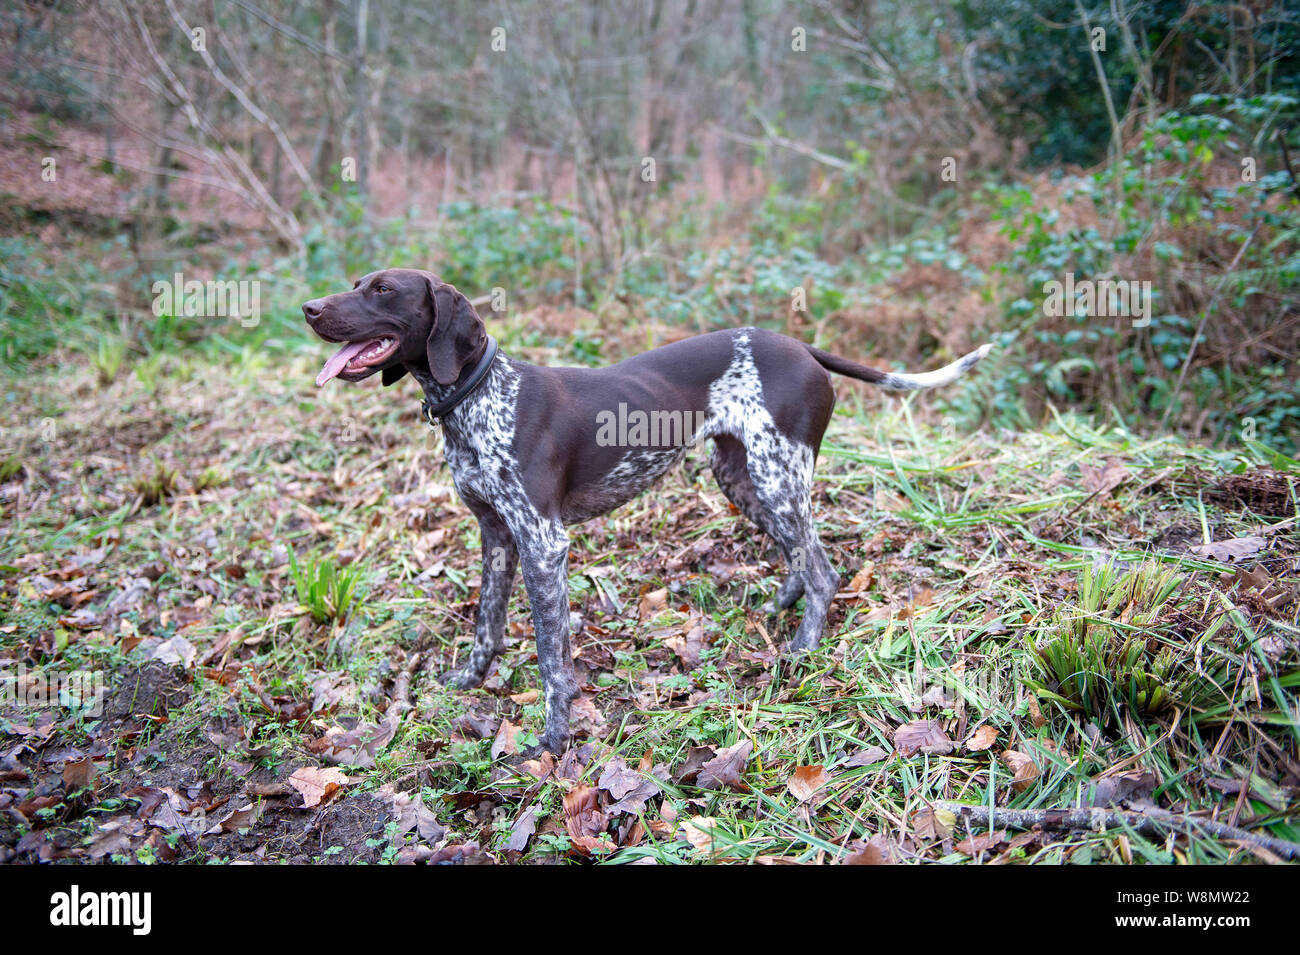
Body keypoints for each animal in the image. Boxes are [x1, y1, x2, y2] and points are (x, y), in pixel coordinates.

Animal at [306, 268, 993, 753]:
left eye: (383, 290)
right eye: (358, 283)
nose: (309, 310)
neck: (478, 398)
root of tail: (803, 346)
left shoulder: (543, 544)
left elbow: (552, 656)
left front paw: (553, 738)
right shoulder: (496, 534)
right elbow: (487, 625)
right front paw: (470, 683)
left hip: (777, 476)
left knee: (824, 569)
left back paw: (801, 649)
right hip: (742, 477)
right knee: (800, 556)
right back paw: (781, 607)